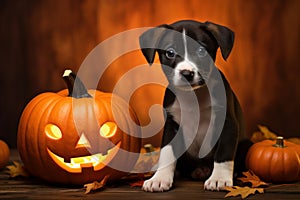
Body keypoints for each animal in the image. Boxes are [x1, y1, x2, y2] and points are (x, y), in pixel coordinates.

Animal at [139, 20, 251, 192]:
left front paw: (219, 179)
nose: (186, 73)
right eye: (170, 52)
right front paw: (159, 178)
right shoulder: (171, 125)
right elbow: (167, 152)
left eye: (201, 51)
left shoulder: (228, 124)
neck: (193, 96)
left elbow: (224, 153)